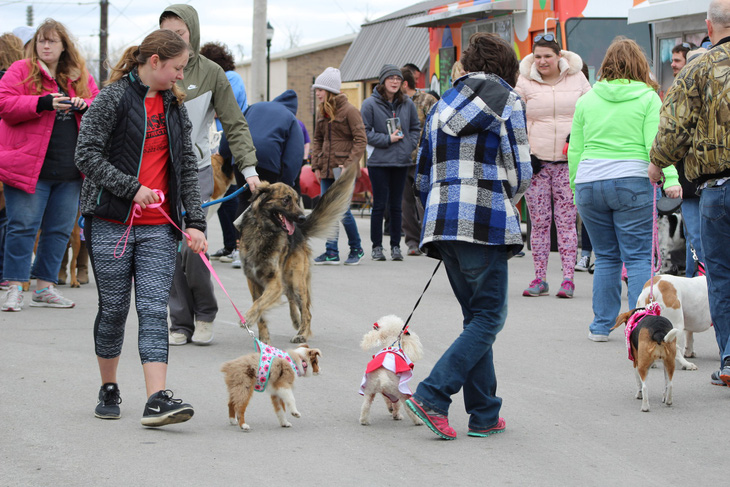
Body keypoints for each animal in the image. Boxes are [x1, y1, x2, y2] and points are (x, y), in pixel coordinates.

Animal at [235, 163, 356, 344]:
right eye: (286, 200)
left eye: (297, 200)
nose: (302, 218)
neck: (263, 231)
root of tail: (300, 231)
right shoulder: (253, 281)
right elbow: (260, 310)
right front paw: (264, 338)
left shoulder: (274, 283)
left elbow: (259, 304)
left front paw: (248, 318)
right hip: (289, 281)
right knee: (292, 300)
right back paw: (295, 320)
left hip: (296, 281)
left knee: (307, 312)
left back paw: (302, 334)